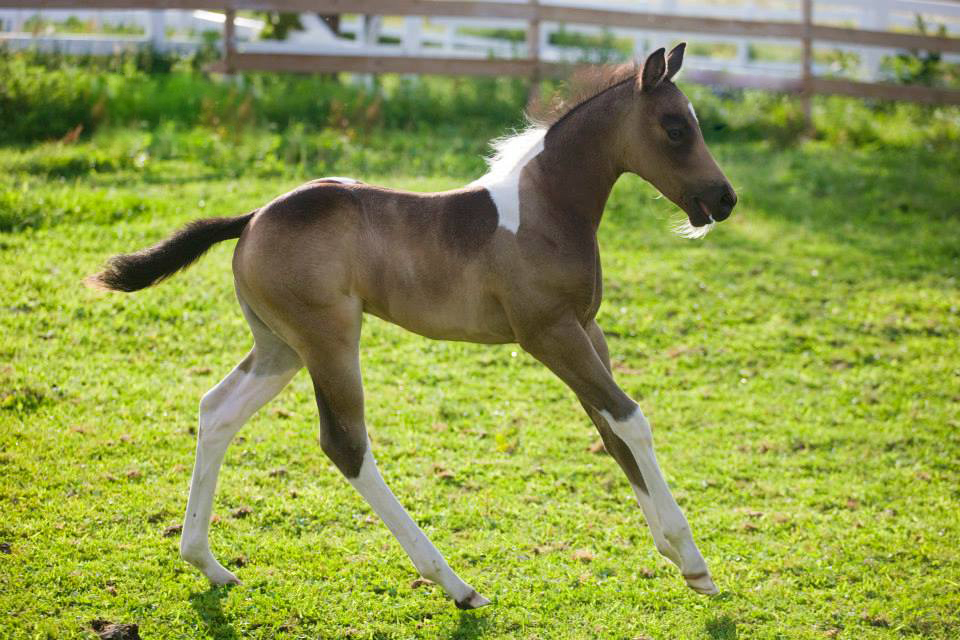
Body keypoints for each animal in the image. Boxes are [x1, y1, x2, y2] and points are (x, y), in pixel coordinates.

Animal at [87, 44, 737, 609]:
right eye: (675, 128)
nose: (724, 199)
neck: (546, 211)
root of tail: (252, 217)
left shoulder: (586, 330)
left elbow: (610, 429)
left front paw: (680, 560)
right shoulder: (549, 334)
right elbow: (629, 418)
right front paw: (693, 559)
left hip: (280, 348)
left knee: (217, 410)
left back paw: (209, 563)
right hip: (328, 341)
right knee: (345, 444)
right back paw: (457, 585)